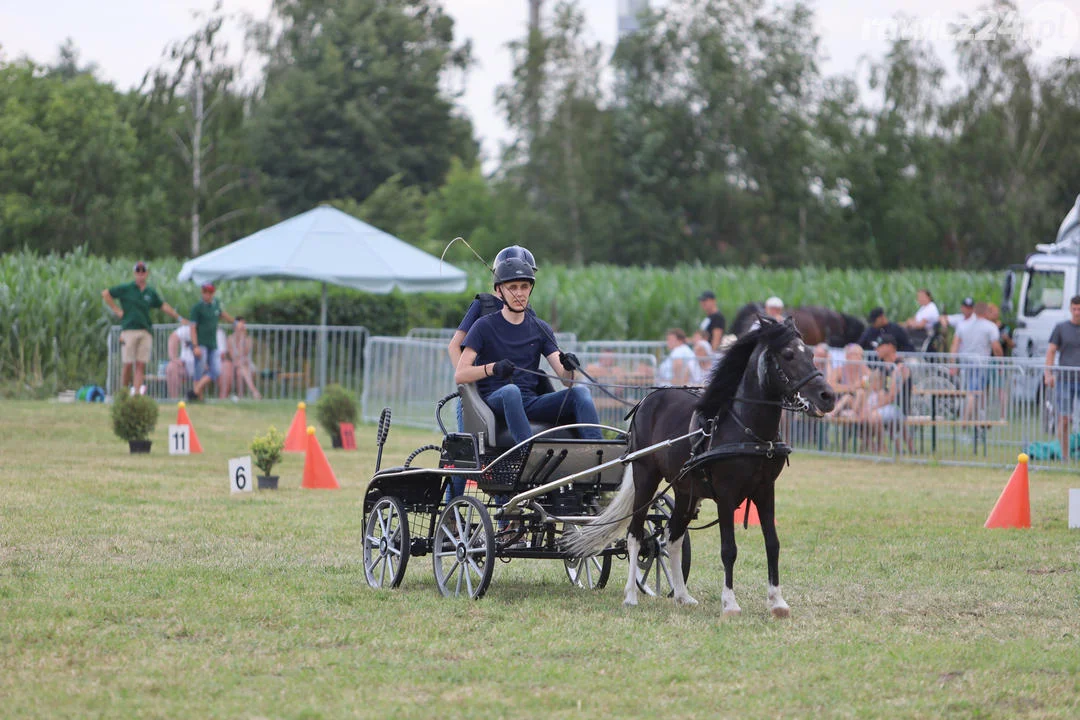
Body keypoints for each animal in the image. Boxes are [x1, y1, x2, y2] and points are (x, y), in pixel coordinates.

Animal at [570, 317, 838, 617]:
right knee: (635, 534)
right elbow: (729, 549)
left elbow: (773, 543)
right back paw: (630, 595)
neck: (747, 430)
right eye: (789, 355)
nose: (828, 396)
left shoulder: (765, 490)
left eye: (812, 354)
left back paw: (682, 595)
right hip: (645, 477)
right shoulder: (726, 494)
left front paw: (777, 602)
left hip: (686, 491)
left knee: (671, 537)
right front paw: (730, 604)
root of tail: (646, 401)